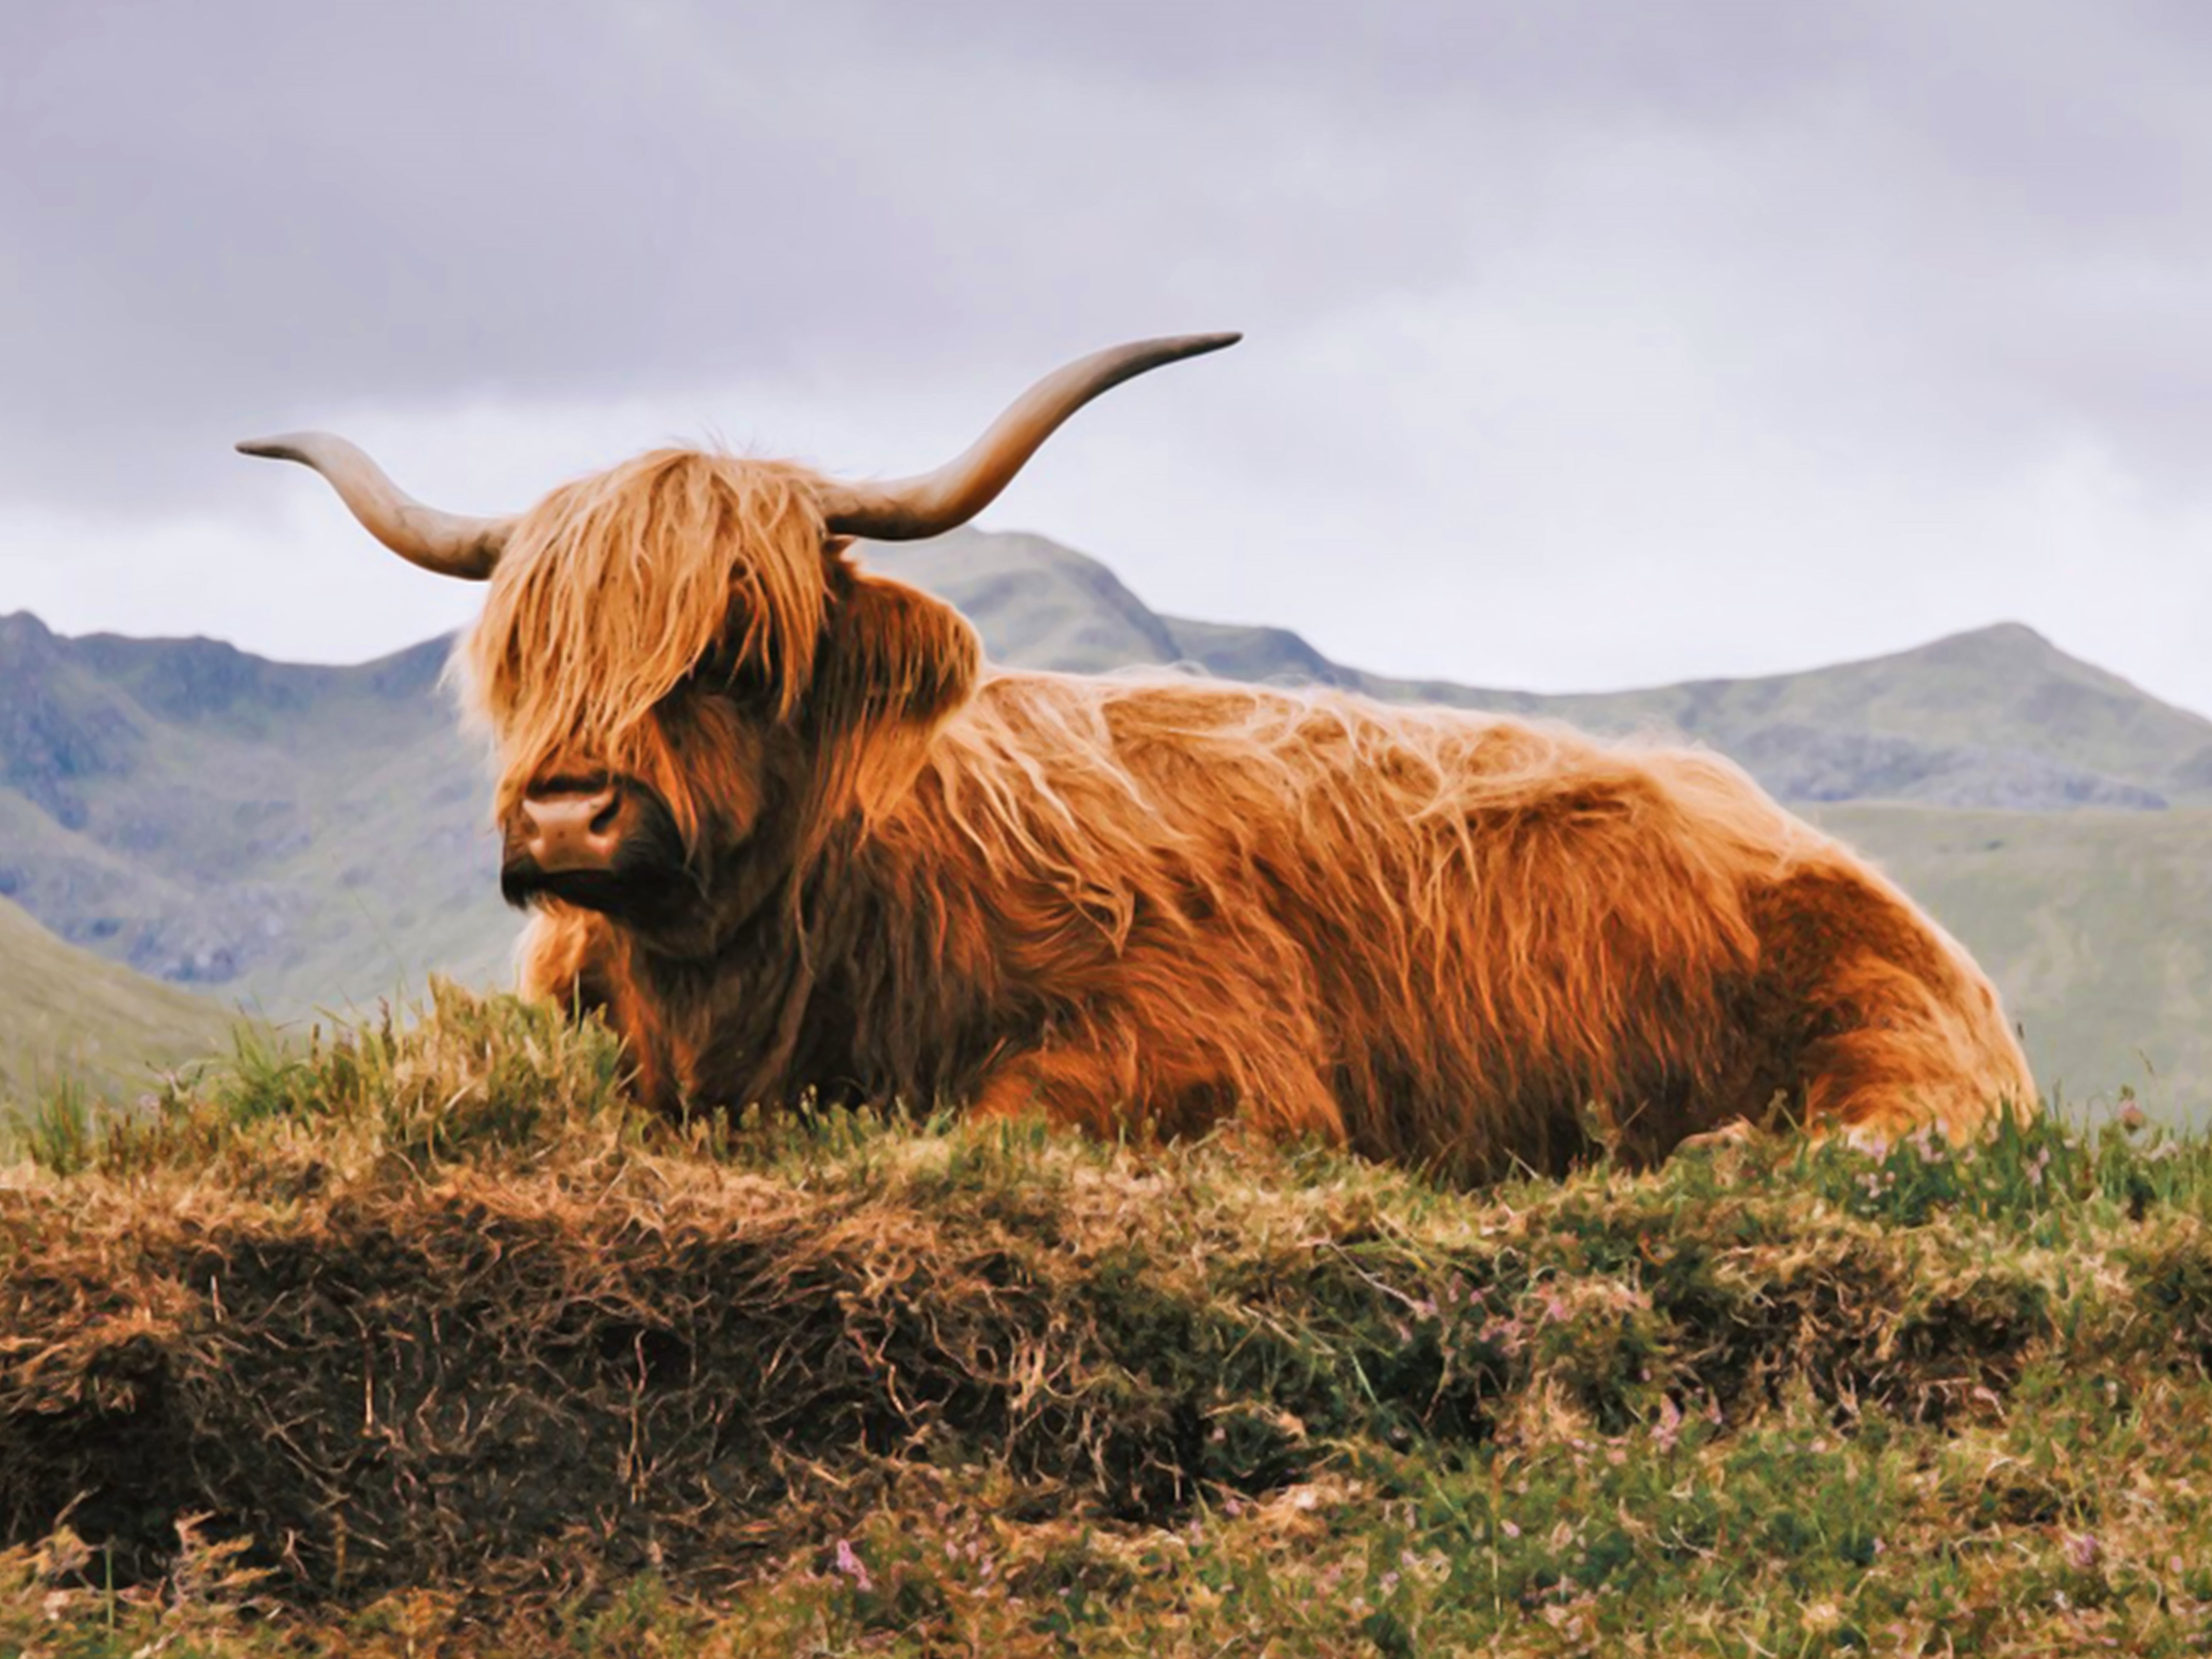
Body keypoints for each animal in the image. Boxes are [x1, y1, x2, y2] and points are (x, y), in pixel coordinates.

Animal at [240, 334, 2034, 1180]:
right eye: (526, 661)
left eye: (737, 650)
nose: (568, 815)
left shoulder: (1210, 1042)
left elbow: (1001, 1113)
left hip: (1887, 1025)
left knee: (1909, 1123)